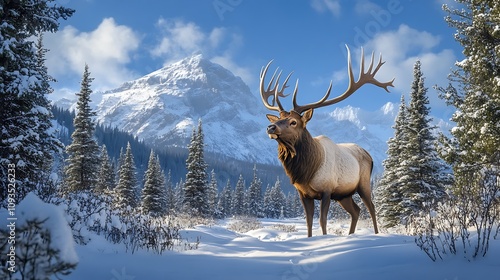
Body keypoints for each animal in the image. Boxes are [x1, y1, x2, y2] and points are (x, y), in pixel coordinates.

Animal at [260, 46, 392, 236]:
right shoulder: (303, 193)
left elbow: (323, 221)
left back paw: (375, 234)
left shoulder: (327, 190)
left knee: (371, 208)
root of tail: (369, 155)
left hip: (363, 184)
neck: (306, 170)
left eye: (293, 122)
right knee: (356, 211)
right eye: (278, 118)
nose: (271, 127)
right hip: (344, 195)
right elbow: (308, 222)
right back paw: (350, 235)